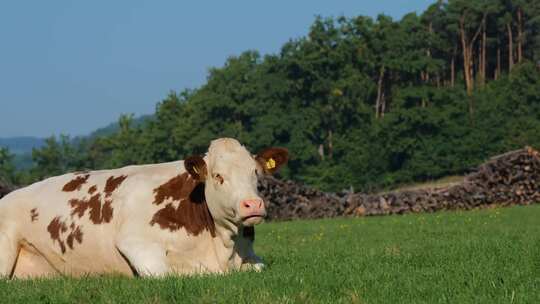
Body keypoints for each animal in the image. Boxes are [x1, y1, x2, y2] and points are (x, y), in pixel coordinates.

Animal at [0, 138, 288, 278]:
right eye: (218, 176)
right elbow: (175, 274)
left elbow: (259, 267)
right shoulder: (136, 242)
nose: (252, 204)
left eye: (255, 173)